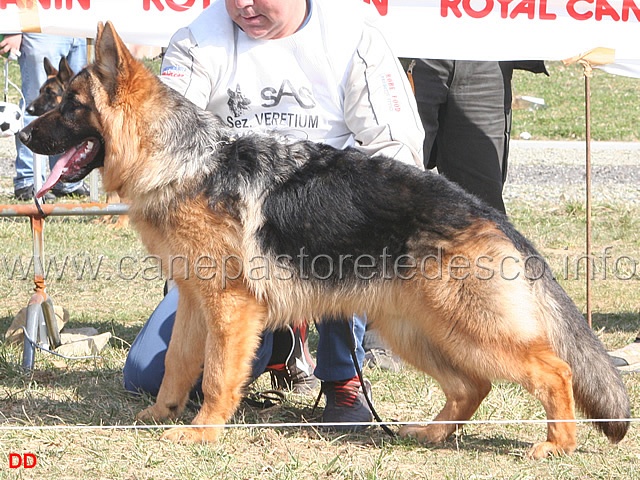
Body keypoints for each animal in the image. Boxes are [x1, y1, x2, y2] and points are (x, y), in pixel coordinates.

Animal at [18, 24, 632, 460]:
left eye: (68, 105)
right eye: (50, 100)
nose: (21, 131)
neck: (183, 158)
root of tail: (484, 211)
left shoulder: (231, 310)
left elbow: (215, 376)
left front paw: (204, 432)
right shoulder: (196, 304)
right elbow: (175, 366)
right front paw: (159, 418)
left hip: (468, 327)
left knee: (553, 370)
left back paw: (556, 444)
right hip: (416, 330)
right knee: (473, 385)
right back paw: (433, 434)